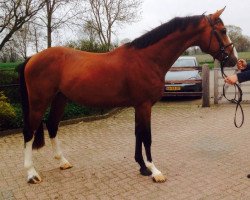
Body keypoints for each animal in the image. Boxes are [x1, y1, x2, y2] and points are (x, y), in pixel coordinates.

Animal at [18, 7, 237, 184]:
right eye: (223, 31)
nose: (233, 60)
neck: (147, 58)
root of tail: (32, 57)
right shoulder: (144, 105)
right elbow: (147, 136)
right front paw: (154, 171)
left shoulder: (138, 106)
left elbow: (138, 134)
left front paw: (142, 167)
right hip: (39, 101)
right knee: (29, 131)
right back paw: (31, 174)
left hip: (60, 98)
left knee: (52, 125)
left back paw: (63, 162)